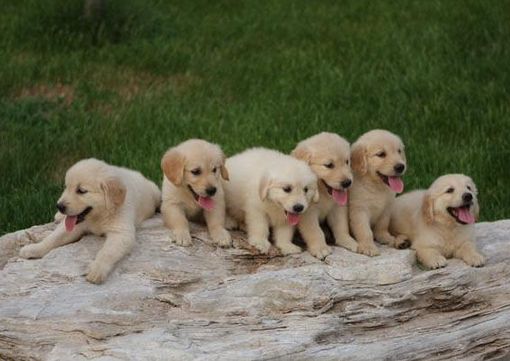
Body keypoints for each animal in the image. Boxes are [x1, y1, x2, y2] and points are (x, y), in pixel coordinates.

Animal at [19, 159, 159, 282]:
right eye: (66, 187)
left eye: (81, 190)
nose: (59, 206)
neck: (98, 215)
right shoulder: (75, 225)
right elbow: (52, 238)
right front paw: (34, 248)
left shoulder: (121, 233)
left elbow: (107, 252)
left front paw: (97, 269)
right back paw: (59, 217)